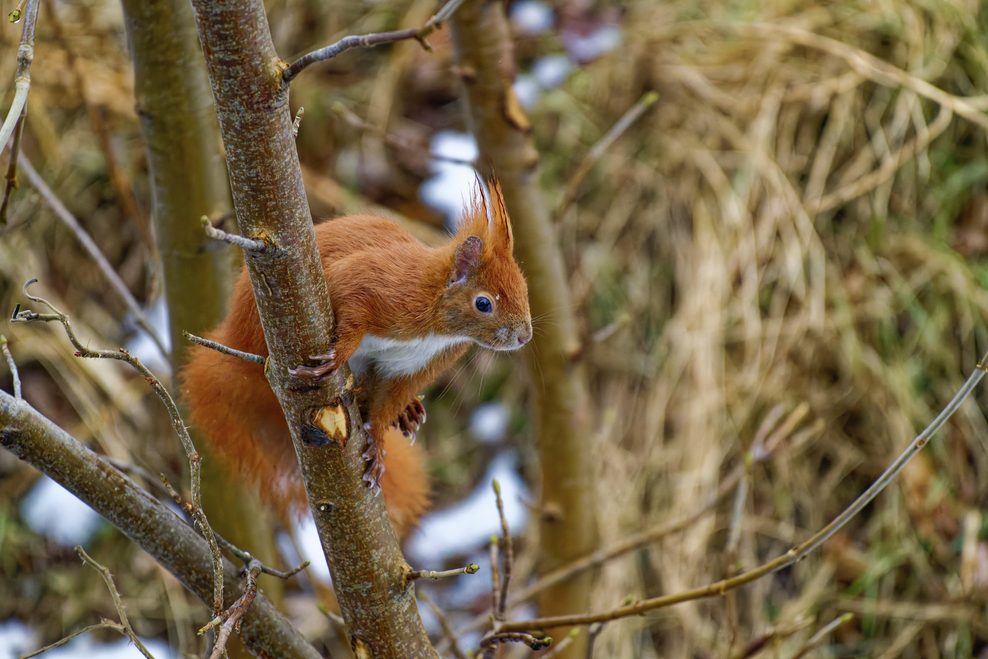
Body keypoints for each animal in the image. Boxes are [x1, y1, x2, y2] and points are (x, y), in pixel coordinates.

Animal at [180, 180, 532, 536]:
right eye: (484, 303)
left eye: (525, 289)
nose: (525, 337)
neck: (437, 328)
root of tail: (236, 341)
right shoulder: (378, 286)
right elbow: (352, 305)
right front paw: (339, 354)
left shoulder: (413, 368)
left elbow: (389, 401)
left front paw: (377, 443)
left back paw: (404, 411)